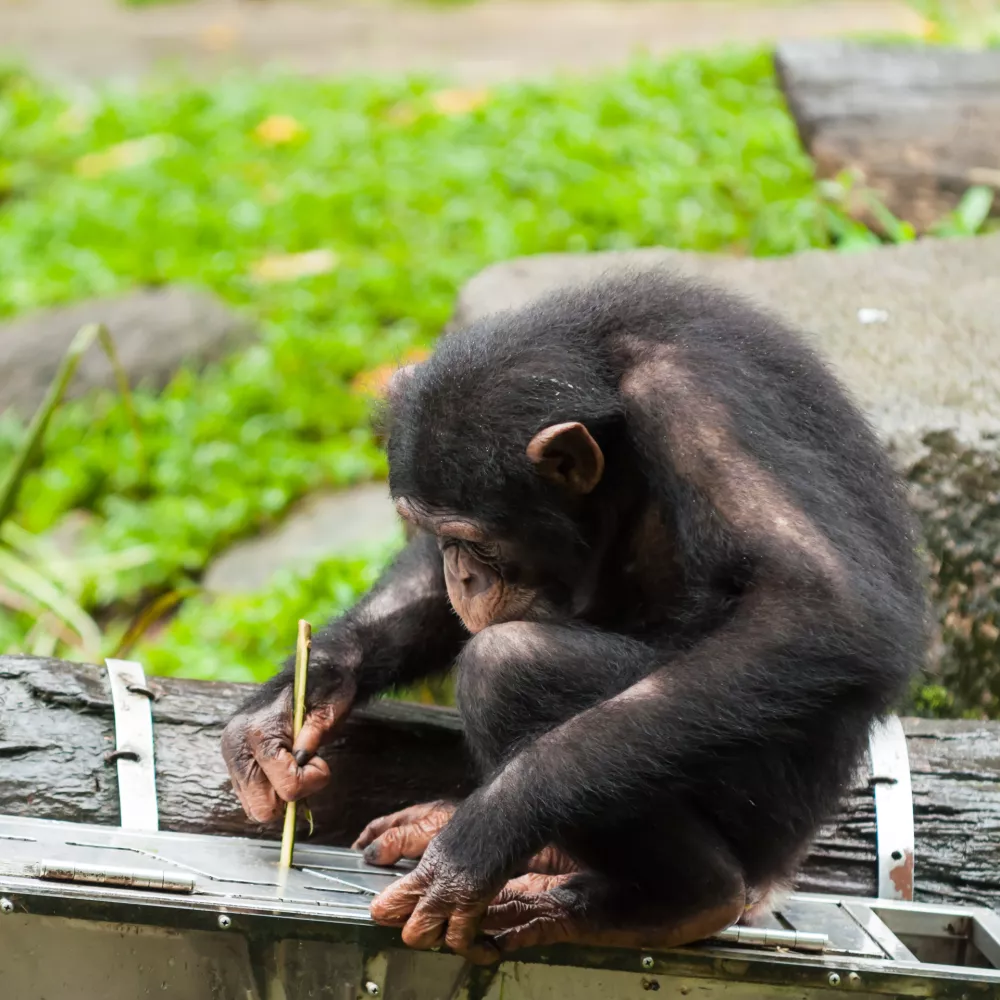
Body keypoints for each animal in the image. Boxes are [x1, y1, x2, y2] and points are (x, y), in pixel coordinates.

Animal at [223, 270, 924, 964]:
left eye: (476, 542)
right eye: (436, 534)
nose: (461, 575)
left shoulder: (699, 401)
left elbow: (816, 604)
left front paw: (485, 833)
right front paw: (293, 703)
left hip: (766, 807)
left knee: (509, 666)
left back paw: (676, 900)